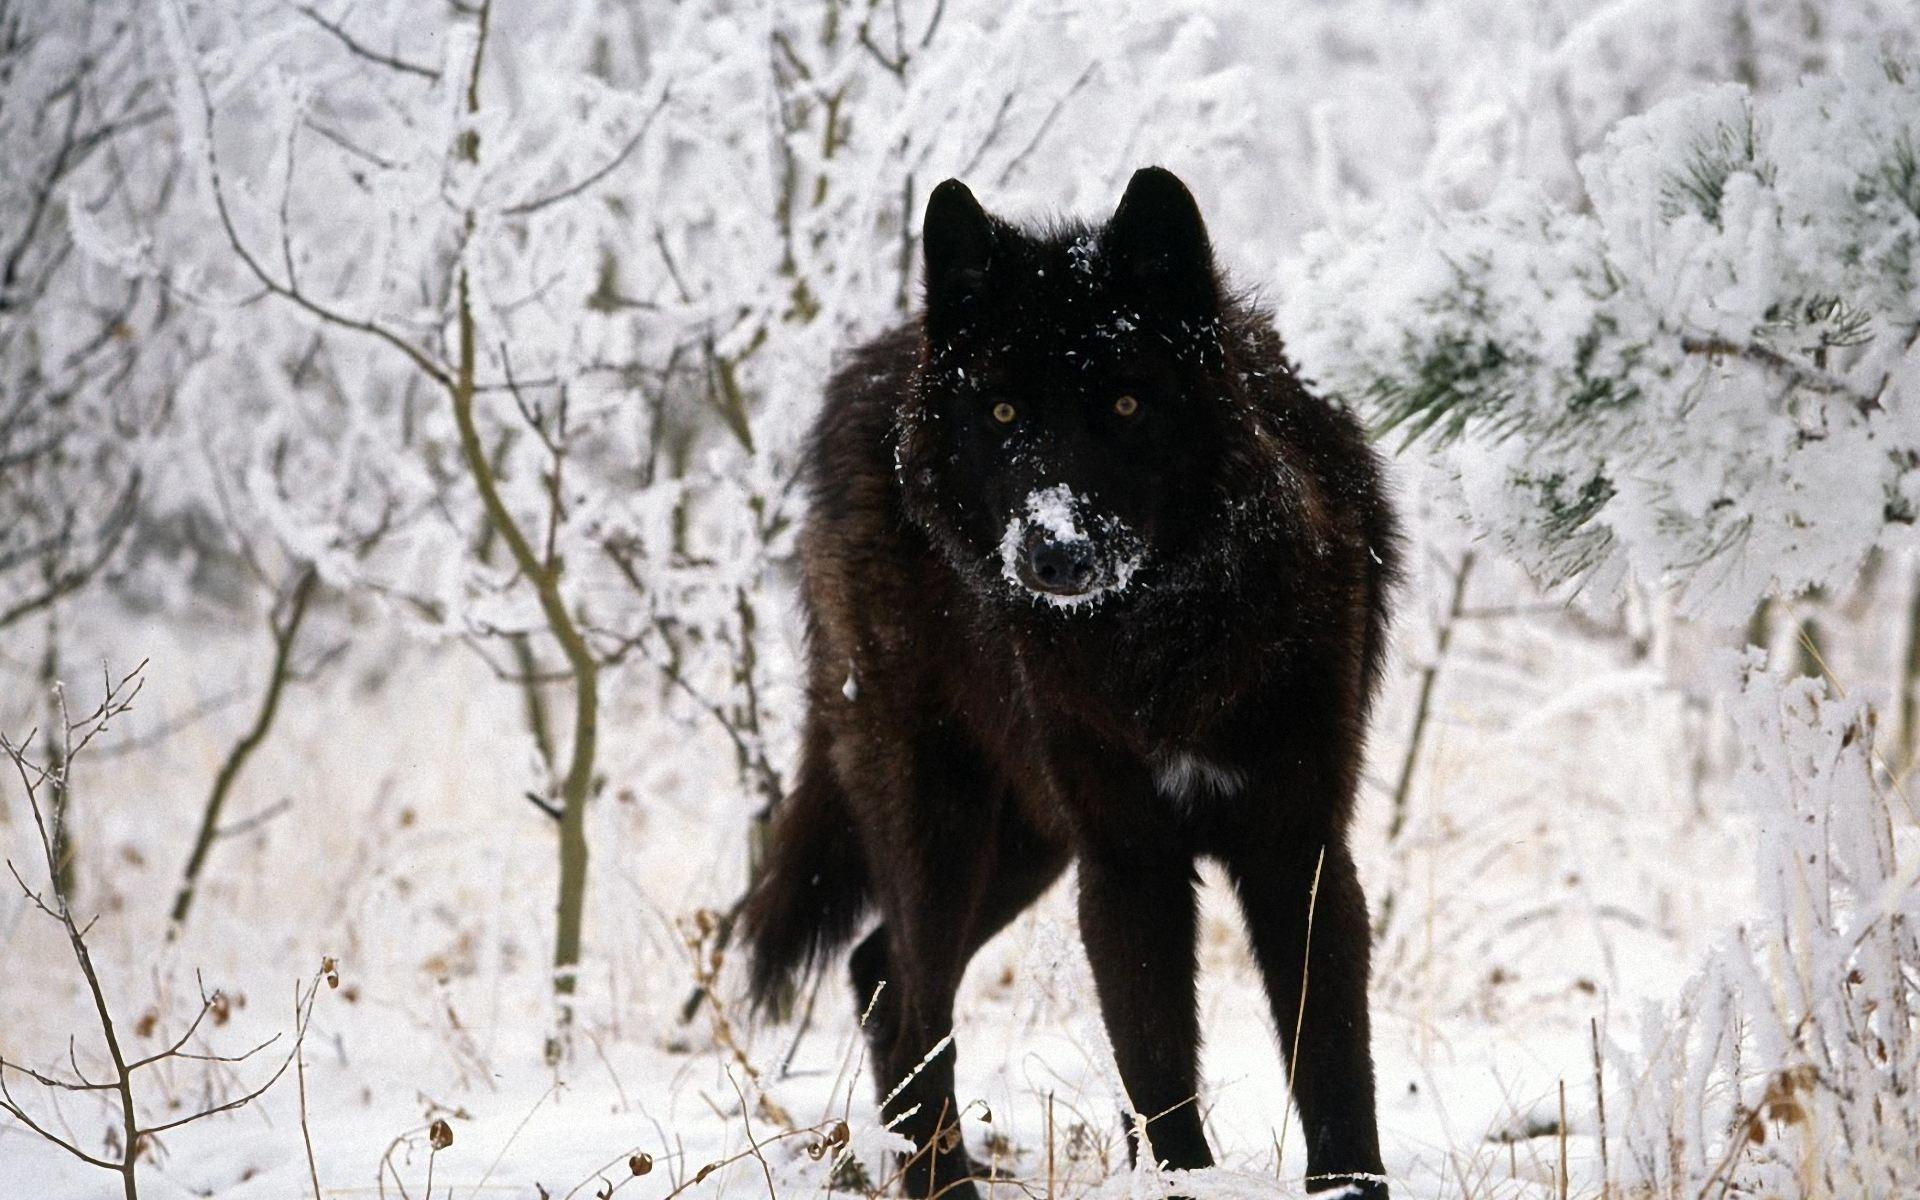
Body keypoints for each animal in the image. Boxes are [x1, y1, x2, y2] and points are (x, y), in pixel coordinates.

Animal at [741, 164, 1405, 1190]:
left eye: (1127, 408)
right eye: (1004, 414)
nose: (1054, 551)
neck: (1164, 644)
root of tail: (874, 366)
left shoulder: (1298, 848)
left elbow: (1334, 1066)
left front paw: (1346, 1190)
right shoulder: (1127, 862)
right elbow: (1158, 1071)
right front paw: (1181, 1185)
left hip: (1025, 843)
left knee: (876, 972)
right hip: (945, 827)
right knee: (911, 999)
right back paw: (945, 1188)